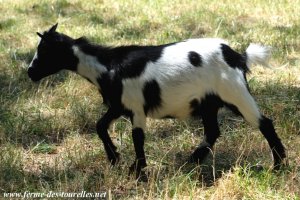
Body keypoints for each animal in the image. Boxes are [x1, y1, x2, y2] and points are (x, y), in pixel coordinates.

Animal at [27, 24, 286, 180]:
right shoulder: (119, 105)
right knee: (213, 131)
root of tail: (238, 56)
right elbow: (100, 126)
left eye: (45, 51)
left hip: (235, 93)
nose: (30, 72)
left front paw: (137, 170)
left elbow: (138, 138)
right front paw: (115, 158)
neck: (108, 66)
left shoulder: (136, 107)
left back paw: (279, 165)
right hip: (208, 102)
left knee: (265, 123)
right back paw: (192, 160)